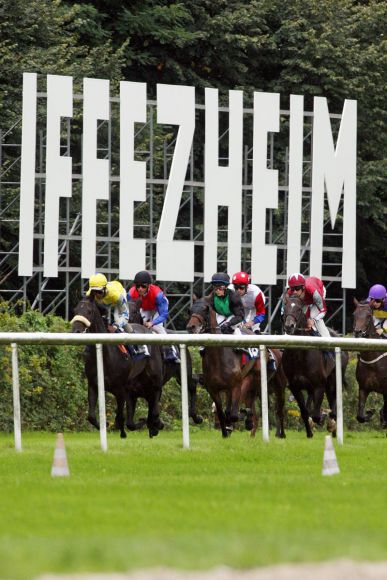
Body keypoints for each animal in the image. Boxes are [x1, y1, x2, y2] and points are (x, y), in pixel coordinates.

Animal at [282, 294, 348, 440]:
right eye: (285, 307)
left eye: (299, 309)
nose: (289, 326)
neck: (300, 355)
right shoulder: (295, 387)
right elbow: (305, 412)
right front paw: (309, 432)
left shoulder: (319, 385)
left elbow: (317, 415)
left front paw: (327, 423)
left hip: (333, 379)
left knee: (334, 401)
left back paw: (333, 426)